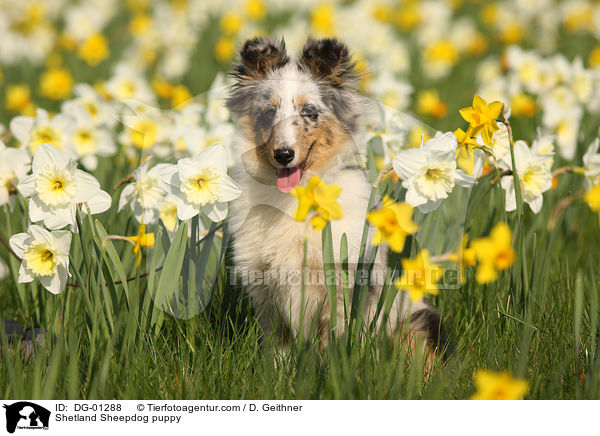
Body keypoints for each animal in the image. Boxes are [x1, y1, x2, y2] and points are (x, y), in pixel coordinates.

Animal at [226, 36, 450, 358]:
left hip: (416, 322)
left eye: (308, 112)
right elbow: (279, 351)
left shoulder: (343, 288)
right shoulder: (266, 293)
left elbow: (332, 346)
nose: (283, 154)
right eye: (269, 112)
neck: (298, 198)